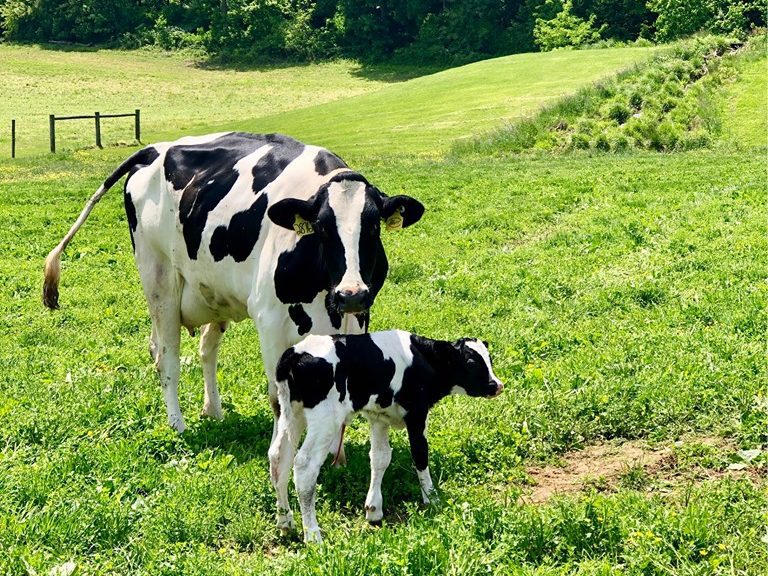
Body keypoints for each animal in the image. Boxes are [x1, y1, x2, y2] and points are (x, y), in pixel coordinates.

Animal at [43, 132, 426, 446]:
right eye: (321, 226)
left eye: (374, 225)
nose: (351, 293)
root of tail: (154, 149)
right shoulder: (270, 321)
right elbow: (278, 398)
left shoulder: (356, 319)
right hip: (159, 278)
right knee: (167, 356)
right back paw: (177, 425)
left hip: (212, 292)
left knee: (202, 349)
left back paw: (213, 410)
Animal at [270, 330, 504, 544]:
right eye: (471, 361)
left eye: (489, 359)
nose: (497, 385)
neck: (422, 359)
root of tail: (294, 353)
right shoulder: (417, 414)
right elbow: (420, 454)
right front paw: (431, 499)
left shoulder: (379, 417)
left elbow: (380, 458)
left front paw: (374, 509)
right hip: (325, 419)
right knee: (304, 466)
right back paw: (313, 536)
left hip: (290, 414)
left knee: (278, 457)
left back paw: (285, 522)